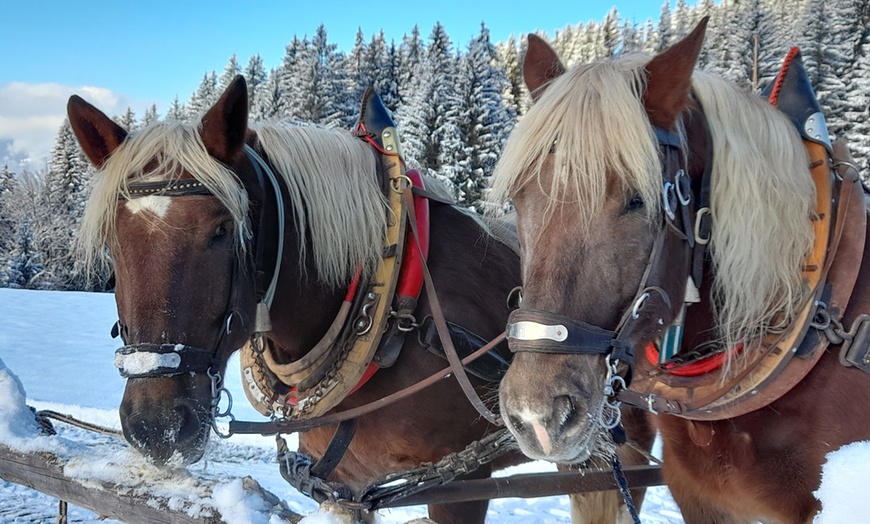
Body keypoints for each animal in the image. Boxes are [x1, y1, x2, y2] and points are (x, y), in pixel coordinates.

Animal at [68, 79, 532, 524]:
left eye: (221, 230)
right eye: (111, 241)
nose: (156, 426)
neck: (394, 310)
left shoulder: (462, 483)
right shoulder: (345, 489)